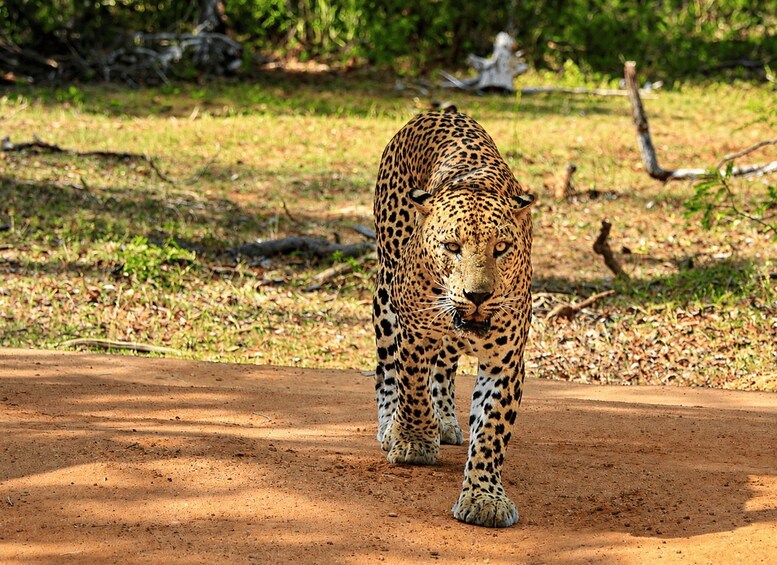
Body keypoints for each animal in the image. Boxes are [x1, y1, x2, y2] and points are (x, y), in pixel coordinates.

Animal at [372, 111, 535, 528]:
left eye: (501, 248)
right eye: (451, 247)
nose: (478, 296)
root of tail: (441, 113)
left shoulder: (505, 360)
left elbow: (492, 428)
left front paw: (484, 497)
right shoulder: (414, 333)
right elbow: (412, 387)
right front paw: (412, 442)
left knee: (444, 366)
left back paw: (445, 421)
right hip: (385, 292)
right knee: (387, 370)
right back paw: (390, 425)